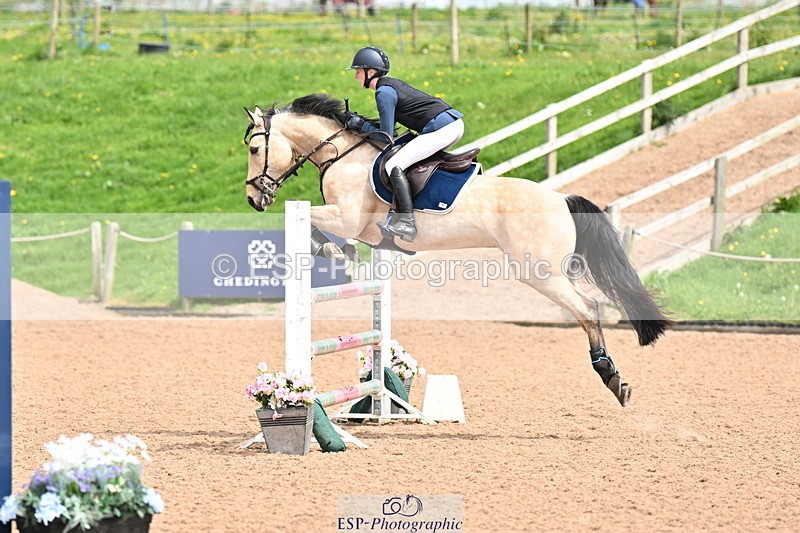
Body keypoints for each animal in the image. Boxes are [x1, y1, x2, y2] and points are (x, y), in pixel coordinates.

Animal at [243, 93, 672, 407]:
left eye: (253, 149)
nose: (252, 199)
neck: (343, 155)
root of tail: (561, 199)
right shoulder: (361, 229)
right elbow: (330, 232)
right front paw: (339, 255)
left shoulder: (347, 218)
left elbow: (313, 221)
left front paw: (331, 253)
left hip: (539, 272)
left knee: (589, 309)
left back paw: (612, 378)